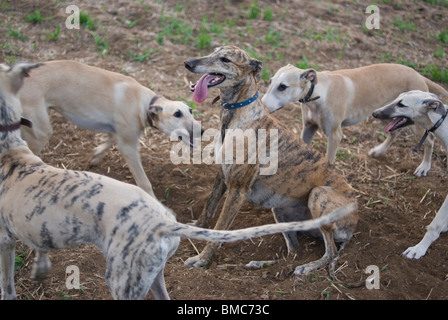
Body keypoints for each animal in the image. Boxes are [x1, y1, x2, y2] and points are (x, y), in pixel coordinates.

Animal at [18, 58, 201, 196]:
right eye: (177, 114)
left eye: (191, 111)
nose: (202, 130)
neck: (143, 103)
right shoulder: (129, 148)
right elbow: (144, 183)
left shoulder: (116, 130)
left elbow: (109, 140)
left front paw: (96, 155)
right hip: (40, 132)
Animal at [260, 63, 448, 176]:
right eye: (270, 82)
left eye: (282, 87)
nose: (261, 105)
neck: (318, 92)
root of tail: (419, 75)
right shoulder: (308, 128)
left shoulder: (335, 136)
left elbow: (329, 161)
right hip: (384, 113)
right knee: (393, 133)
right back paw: (379, 151)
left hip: (416, 123)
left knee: (430, 140)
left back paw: (424, 166)